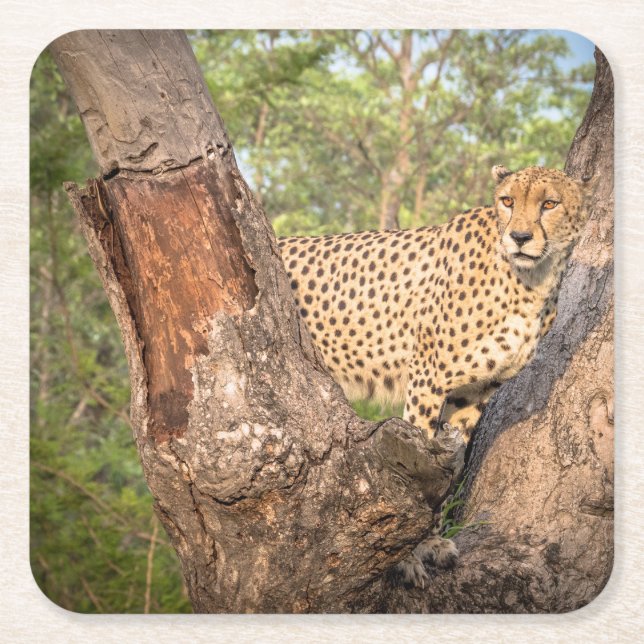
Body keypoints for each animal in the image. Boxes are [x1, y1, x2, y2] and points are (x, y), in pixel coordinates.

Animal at [278, 165, 596, 586]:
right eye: (507, 200)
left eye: (550, 204)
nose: (520, 237)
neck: (532, 280)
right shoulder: (426, 379)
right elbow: (415, 469)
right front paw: (412, 553)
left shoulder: (472, 393)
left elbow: (447, 468)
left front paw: (433, 542)